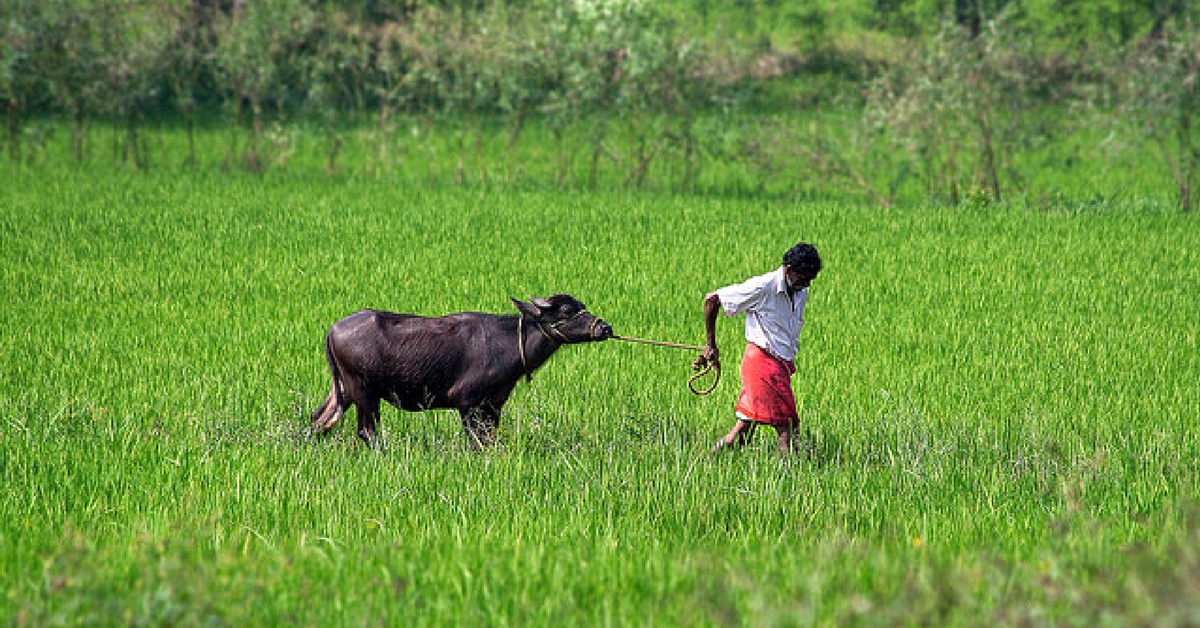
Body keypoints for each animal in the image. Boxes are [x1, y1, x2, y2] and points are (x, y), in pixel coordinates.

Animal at [312, 295, 609, 446]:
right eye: (567, 310)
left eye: (582, 307)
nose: (605, 328)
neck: (509, 344)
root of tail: (332, 330)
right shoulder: (467, 402)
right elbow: (476, 440)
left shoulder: (494, 404)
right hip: (364, 393)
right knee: (366, 431)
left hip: (343, 390)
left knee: (320, 420)